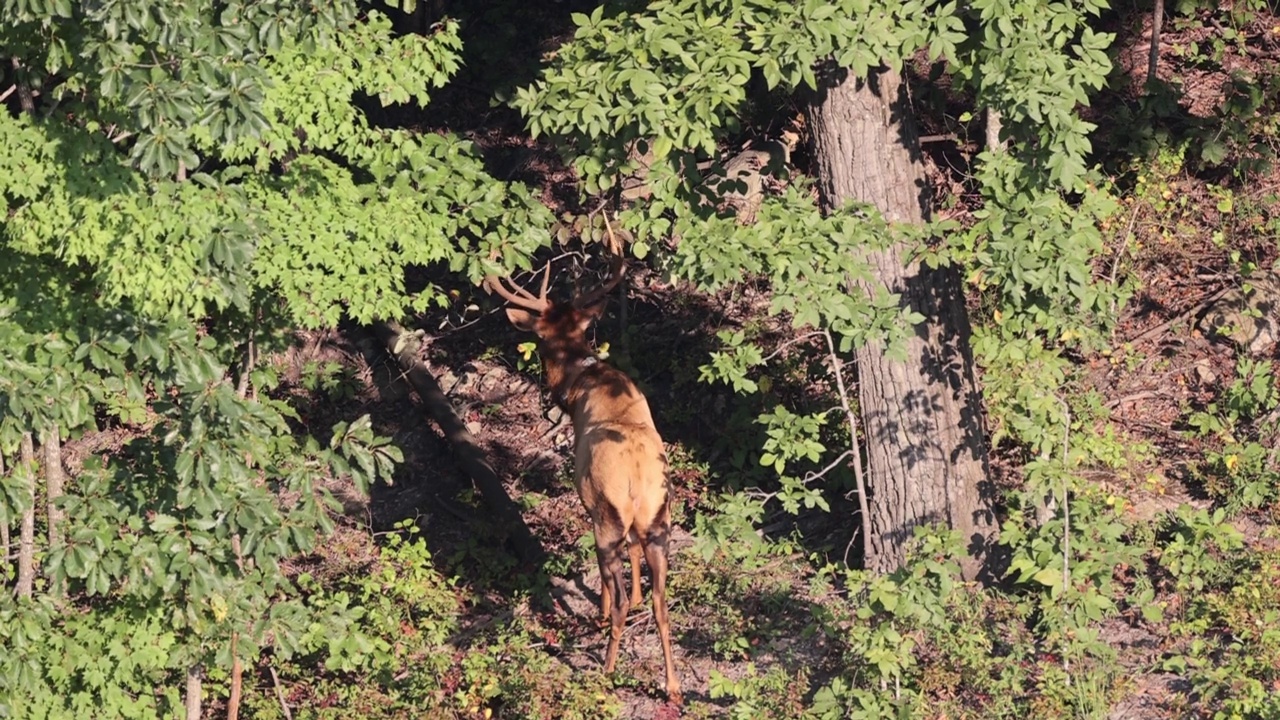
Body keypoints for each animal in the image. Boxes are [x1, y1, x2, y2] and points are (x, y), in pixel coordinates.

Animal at [483, 256, 680, 702]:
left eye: (538, 335)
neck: (580, 387)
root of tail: (638, 477)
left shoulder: (589, 498)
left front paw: (602, 609)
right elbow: (636, 561)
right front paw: (636, 595)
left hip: (608, 513)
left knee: (615, 582)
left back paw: (606, 669)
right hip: (659, 517)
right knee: (663, 600)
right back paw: (673, 685)